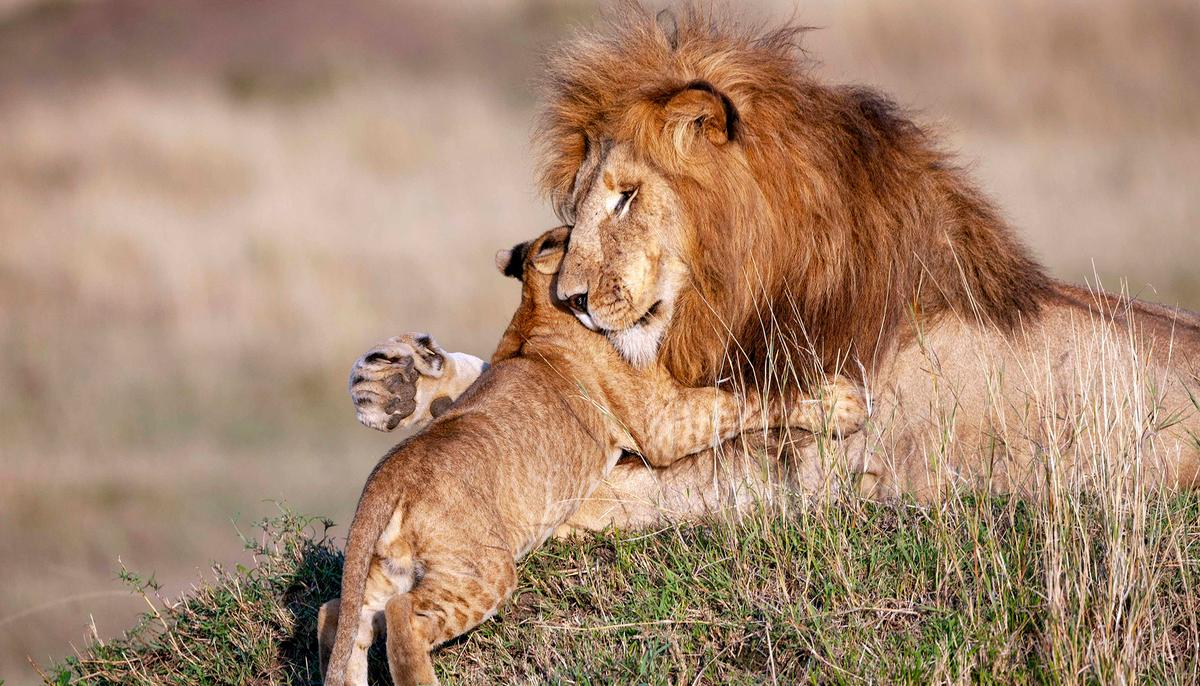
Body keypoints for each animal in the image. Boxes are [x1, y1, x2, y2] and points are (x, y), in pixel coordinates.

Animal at [321, 227, 866, 686]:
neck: (540, 311)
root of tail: (387, 477)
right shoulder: (663, 422)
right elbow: (747, 397)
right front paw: (843, 403)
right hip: (480, 570)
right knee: (402, 620)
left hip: (381, 574)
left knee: (340, 618)